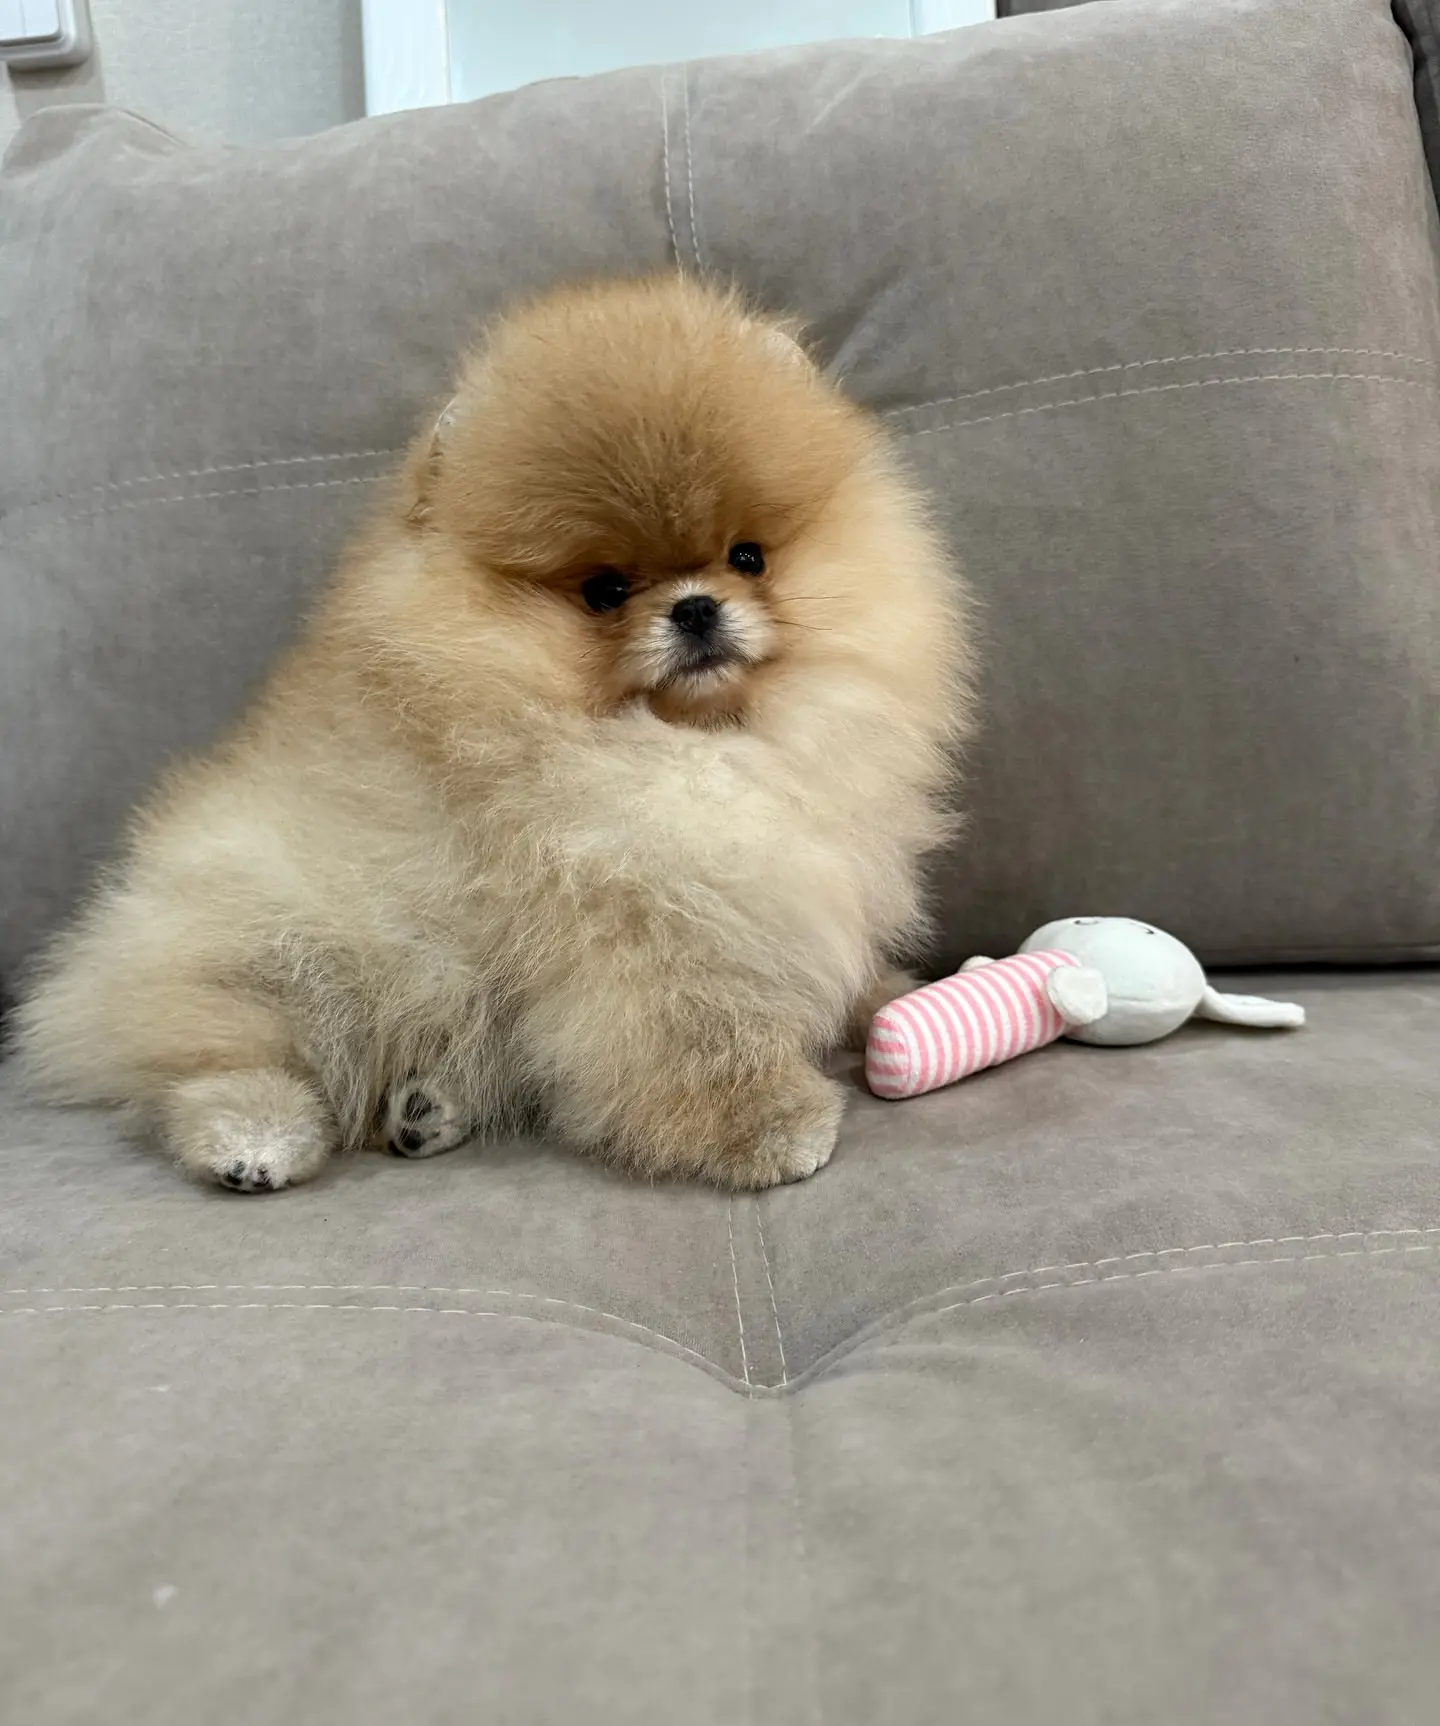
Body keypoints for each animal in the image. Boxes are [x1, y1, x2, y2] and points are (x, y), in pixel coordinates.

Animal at [13, 274, 972, 1191]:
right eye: (605, 591)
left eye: (748, 557)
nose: (697, 608)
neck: (696, 742)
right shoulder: (639, 930)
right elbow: (693, 1037)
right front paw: (767, 1126)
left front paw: (885, 1001)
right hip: (275, 944)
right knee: (212, 1056)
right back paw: (258, 1138)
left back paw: (425, 1108)